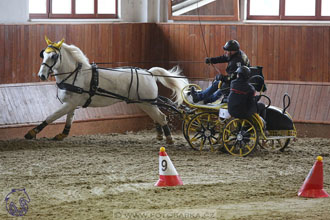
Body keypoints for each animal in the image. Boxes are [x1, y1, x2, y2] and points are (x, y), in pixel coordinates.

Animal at [24, 36, 187, 144]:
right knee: (156, 117)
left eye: (54, 56)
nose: (41, 75)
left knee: (161, 117)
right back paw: (160, 136)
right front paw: (62, 135)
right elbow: (69, 120)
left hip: (147, 103)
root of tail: (149, 73)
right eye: (43, 54)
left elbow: (51, 117)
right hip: (145, 103)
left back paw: (169, 139)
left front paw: (31, 133)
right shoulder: (71, 103)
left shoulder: (69, 104)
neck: (75, 75)